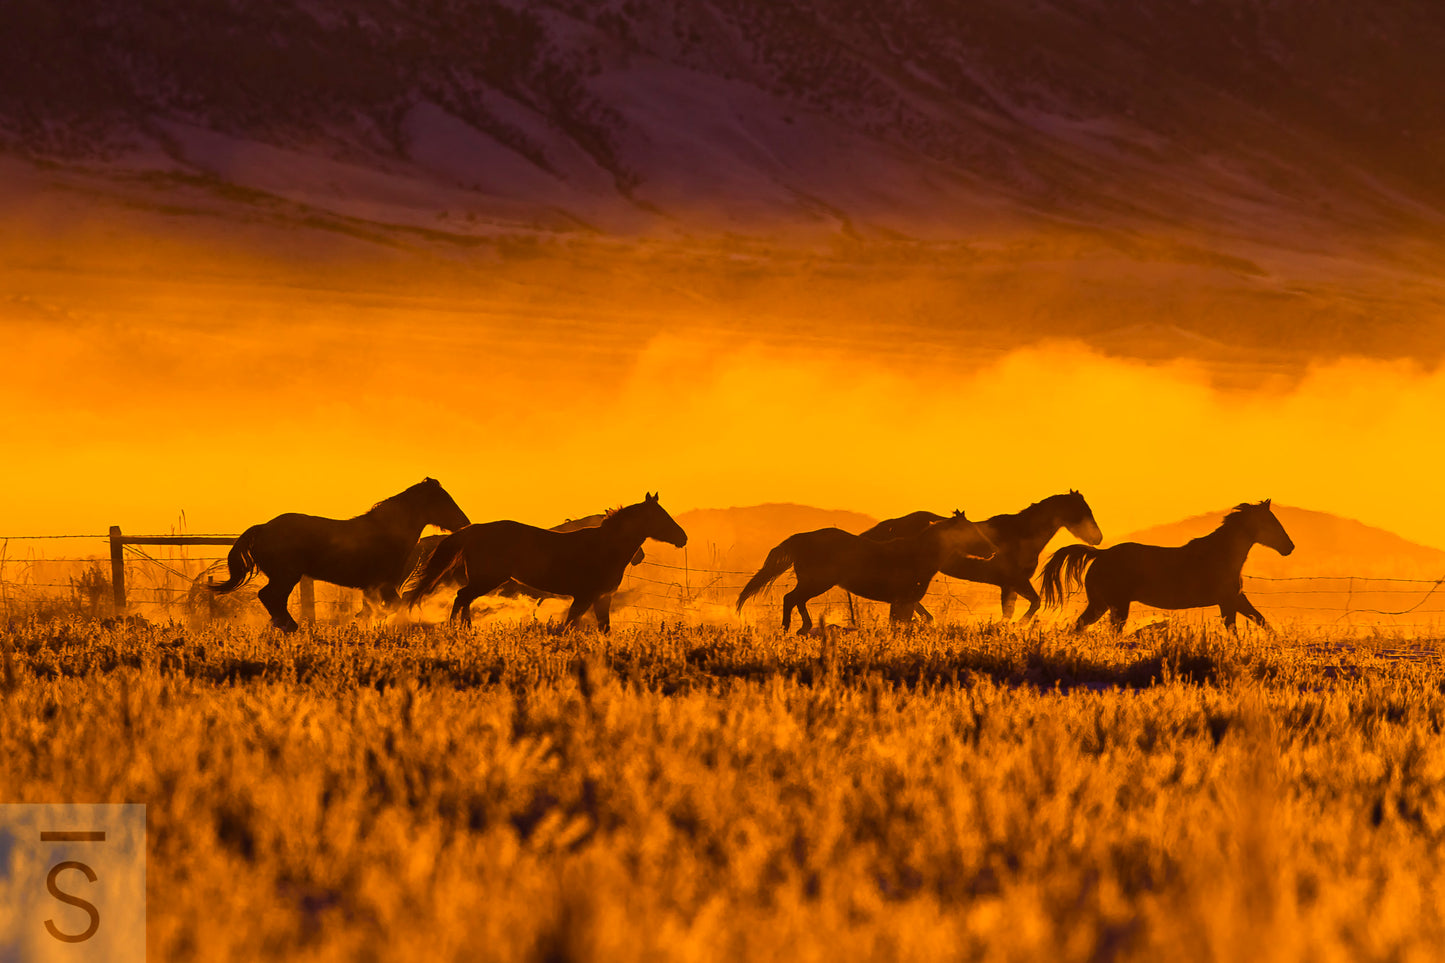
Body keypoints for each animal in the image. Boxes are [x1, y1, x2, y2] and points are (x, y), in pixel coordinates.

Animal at [210, 474, 468, 630]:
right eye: (443, 500)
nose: (464, 523)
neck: (386, 533)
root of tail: (263, 528)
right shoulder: (384, 585)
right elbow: (390, 607)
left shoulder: (376, 587)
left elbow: (377, 608)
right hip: (286, 576)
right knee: (269, 596)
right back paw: (290, 627)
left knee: (273, 599)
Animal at [401, 488, 682, 630]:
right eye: (661, 516)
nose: (683, 538)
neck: (604, 547)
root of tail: (473, 530)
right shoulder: (586, 596)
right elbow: (570, 624)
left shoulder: (600, 597)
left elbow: (601, 627)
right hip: (487, 579)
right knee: (462, 597)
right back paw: (457, 629)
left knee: (464, 599)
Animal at [734, 506, 994, 633]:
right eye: (970, 530)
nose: (992, 549)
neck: (918, 554)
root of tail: (800, 538)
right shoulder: (904, 600)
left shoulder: (903, 601)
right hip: (817, 582)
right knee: (791, 598)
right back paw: (790, 628)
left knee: (796, 600)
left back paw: (804, 627)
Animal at [861, 488, 1098, 621]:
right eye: (1083, 510)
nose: (1098, 538)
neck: (1021, 533)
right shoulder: (1014, 582)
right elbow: (1031, 605)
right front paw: (1016, 625)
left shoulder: (1011, 585)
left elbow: (1016, 609)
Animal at [1046, 503, 1294, 630]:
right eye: (1270, 522)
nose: (1289, 547)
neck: (1221, 554)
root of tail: (1102, 554)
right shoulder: (1227, 601)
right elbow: (1236, 627)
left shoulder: (1236, 599)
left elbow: (1260, 620)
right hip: (1116, 606)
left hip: (1100, 605)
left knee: (1078, 626)